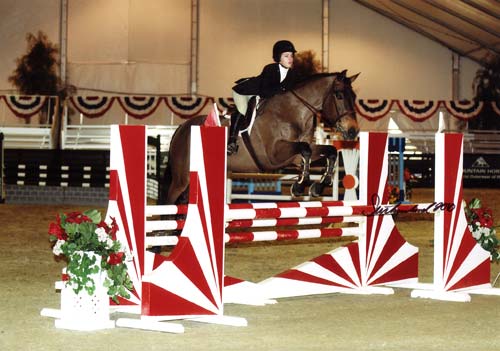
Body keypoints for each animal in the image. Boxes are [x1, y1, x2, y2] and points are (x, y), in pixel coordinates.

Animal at [162, 69, 362, 206]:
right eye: (339, 95)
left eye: (354, 96)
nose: (353, 131)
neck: (294, 112)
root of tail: (182, 127)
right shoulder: (274, 155)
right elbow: (305, 149)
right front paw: (299, 186)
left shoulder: (294, 157)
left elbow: (330, 151)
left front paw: (318, 186)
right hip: (182, 178)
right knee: (170, 201)